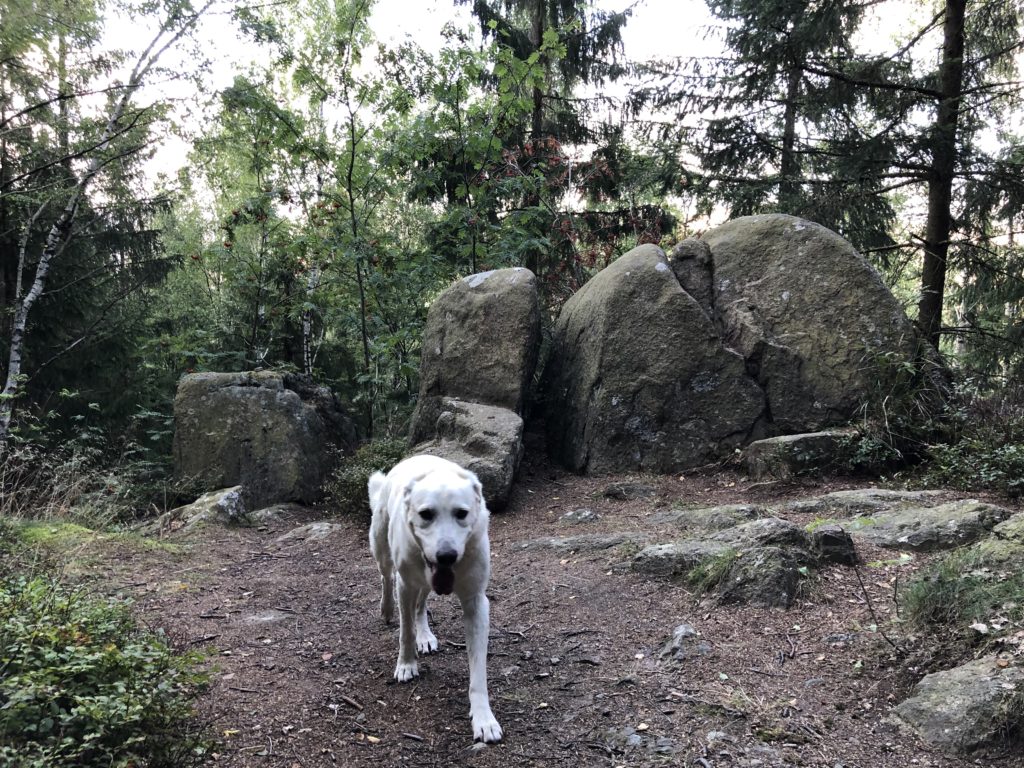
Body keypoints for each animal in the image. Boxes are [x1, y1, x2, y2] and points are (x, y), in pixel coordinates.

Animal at [368, 454, 503, 741]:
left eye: (461, 514)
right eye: (426, 515)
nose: (446, 556)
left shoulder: (476, 603)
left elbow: (478, 671)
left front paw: (484, 719)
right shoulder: (405, 586)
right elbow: (405, 632)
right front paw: (406, 665)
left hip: (425, 583)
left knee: (421, 605)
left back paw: (425, 636)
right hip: (382, 549)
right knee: (386, 577)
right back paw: (386, 609)